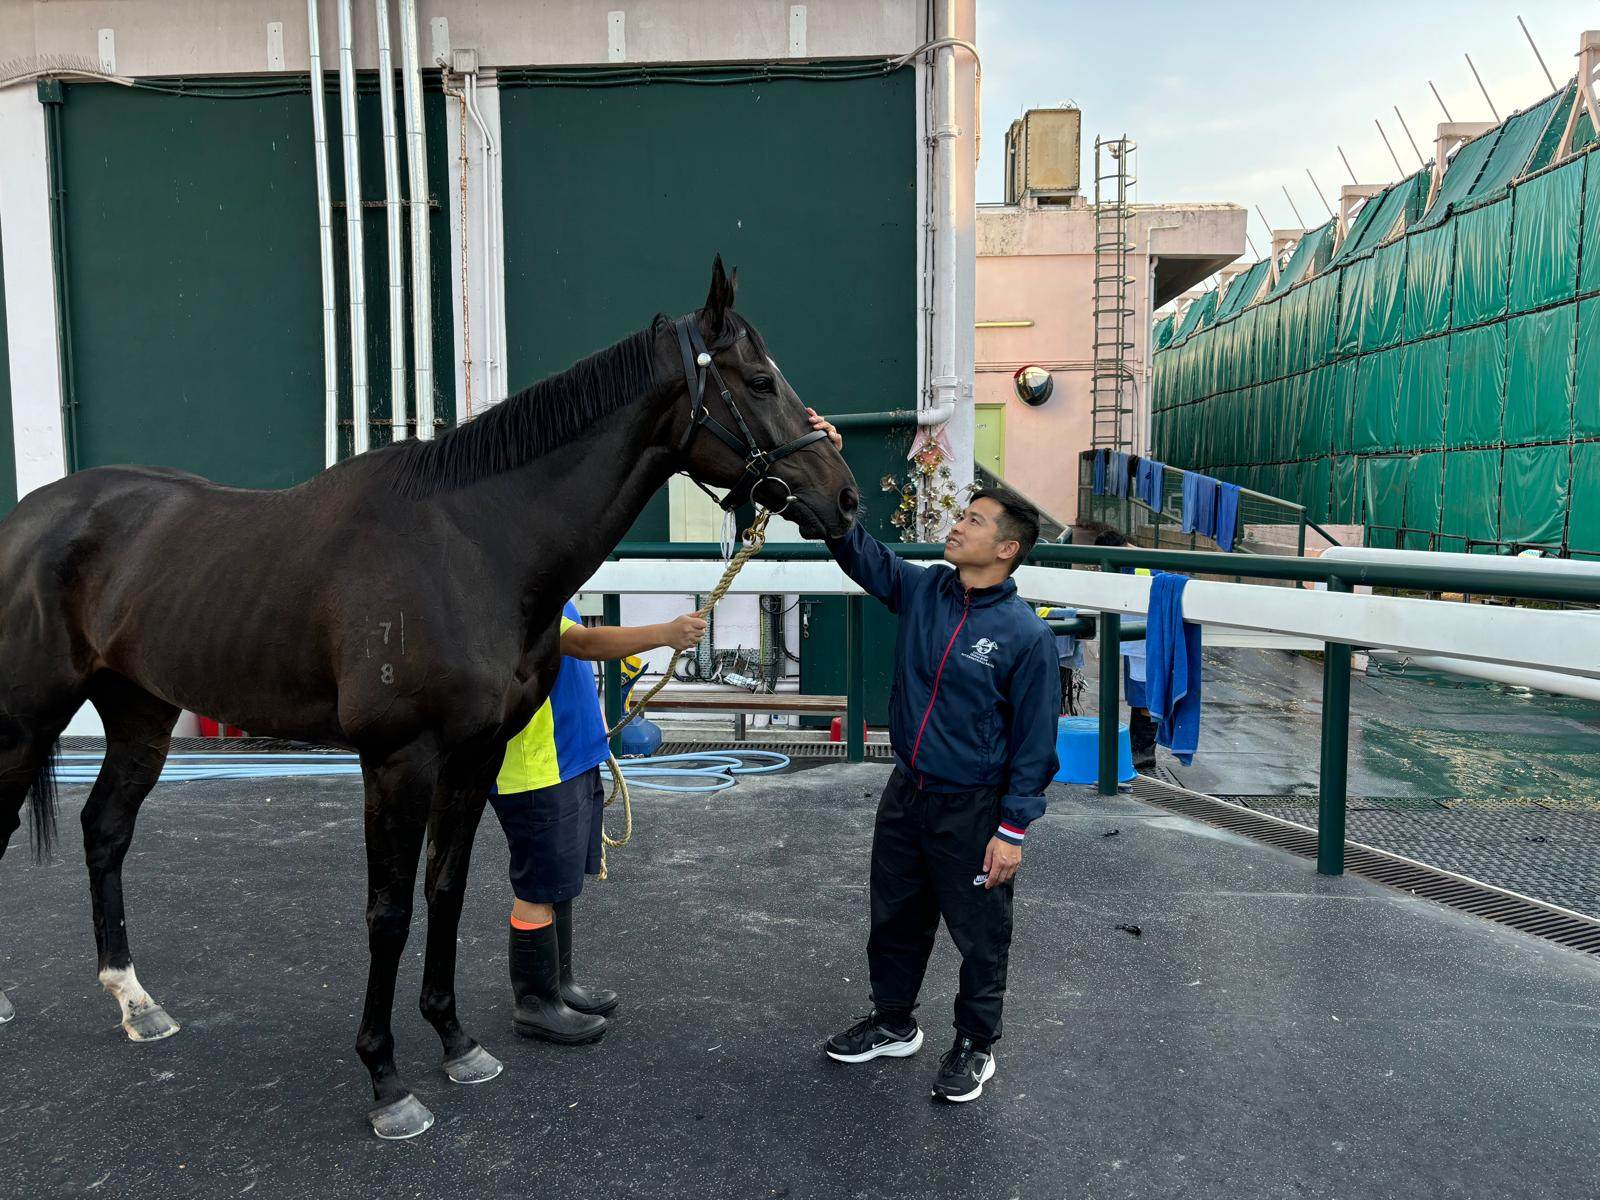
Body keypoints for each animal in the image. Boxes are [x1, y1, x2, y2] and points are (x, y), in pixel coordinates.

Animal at [0, 259, 864, 1139]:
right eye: (760, 381)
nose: (846, 498)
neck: (473, 542)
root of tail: (31, 515)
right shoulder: (397, 759)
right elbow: (387, 911)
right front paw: (386, 1081)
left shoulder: (474, 754)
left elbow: (444, 891)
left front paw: (456, 1043)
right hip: (23, 722)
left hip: (140, 712)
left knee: (106, 831)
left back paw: (136, 1002)